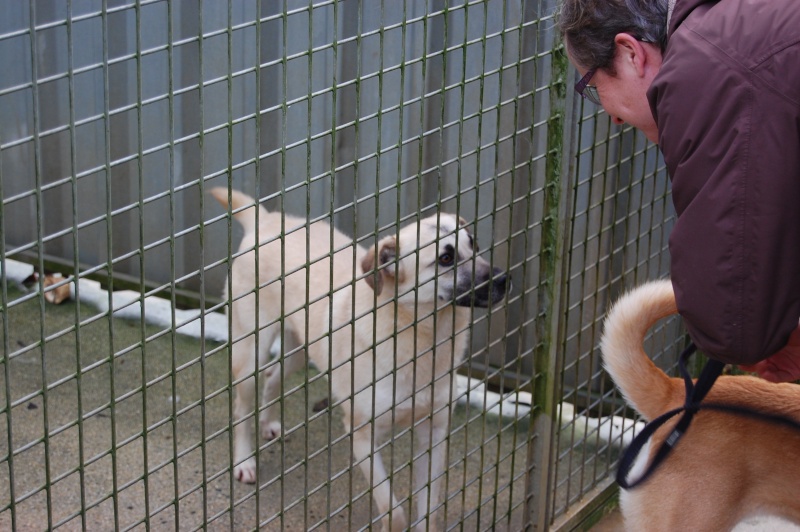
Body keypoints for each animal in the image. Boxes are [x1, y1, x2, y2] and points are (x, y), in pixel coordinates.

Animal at [209, 189, 510, 528]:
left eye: (475, 245)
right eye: (445, 258)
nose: (505, 279)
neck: (419, 337)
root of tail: (266, 220)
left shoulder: (433, 433)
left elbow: (429, 510)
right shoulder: (363, 436)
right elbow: (394, 511)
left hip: (302, 350)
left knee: (273, 375)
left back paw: (269, 423)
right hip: (251, 350)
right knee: (242, 408)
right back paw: (244, 461)